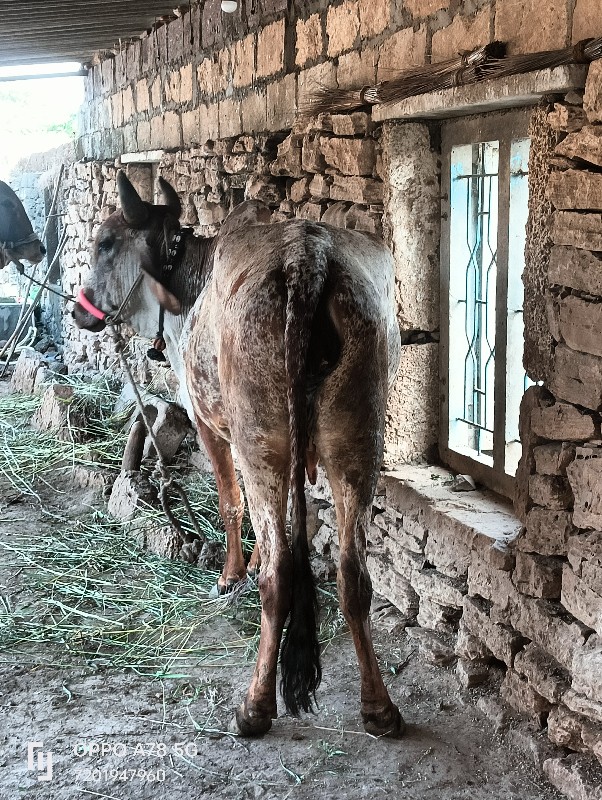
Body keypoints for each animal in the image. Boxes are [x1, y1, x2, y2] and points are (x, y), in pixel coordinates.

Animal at [74, 172, 404, 740]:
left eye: (106, 243)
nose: (77, 309)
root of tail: (307, 258)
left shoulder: (209, 423)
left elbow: (233, 504)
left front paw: (231, 574)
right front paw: (243, 564)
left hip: (261, 442)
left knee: (280, 573)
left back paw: (255, 705)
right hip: (357, 441)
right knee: (352, 573)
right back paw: (379, 707)